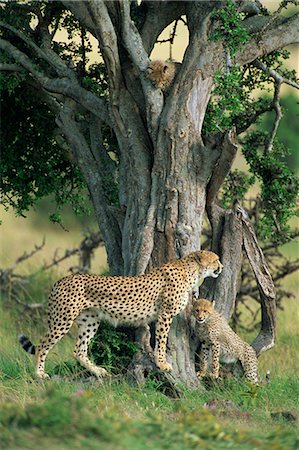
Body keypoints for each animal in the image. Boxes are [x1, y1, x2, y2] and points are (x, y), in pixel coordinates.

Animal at [19, 250, 223, 380]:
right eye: (215, 259)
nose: (221, 267)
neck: (192, 272)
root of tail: (61, 280)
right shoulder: (164, 315)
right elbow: (162, 339)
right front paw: (162, 364)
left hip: (90, 320)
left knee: (79, 350)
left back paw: (98, 371)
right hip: (63, 319)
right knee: (42, 345)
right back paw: (39, 373)